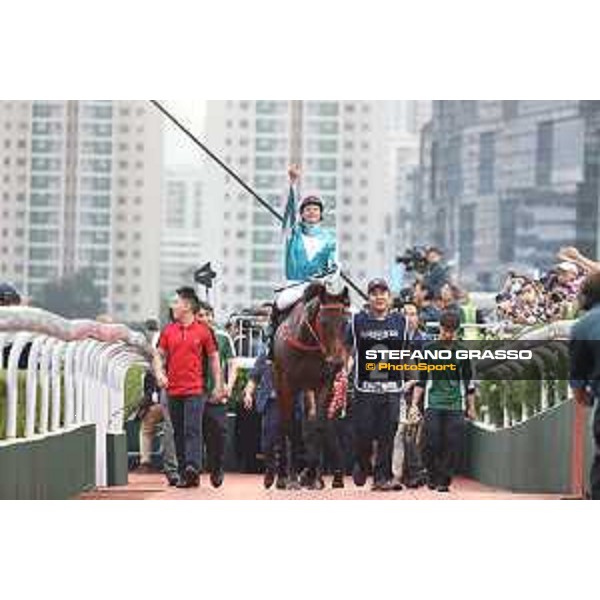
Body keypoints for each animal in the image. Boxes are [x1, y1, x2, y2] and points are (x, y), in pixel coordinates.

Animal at [270, 278, 350, 490]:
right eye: (323, 322)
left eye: (345, 323)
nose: (337, 362)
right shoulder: (288, 384)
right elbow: (290, 426)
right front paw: (291, 477)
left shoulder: (324, 383)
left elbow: (319, 425)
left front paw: (310, 475)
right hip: (280, 382)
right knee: (283, 422)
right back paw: (280, 476)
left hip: (307, 389)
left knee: (309, 420)